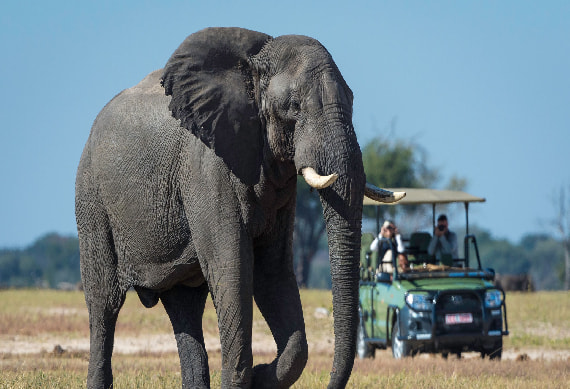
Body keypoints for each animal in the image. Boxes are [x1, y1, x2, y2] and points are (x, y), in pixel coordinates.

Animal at [76, 27, 404, 388]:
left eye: (352, 101)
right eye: (293, 107)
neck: (254, 63)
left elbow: (272, 269)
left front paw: (260, 376)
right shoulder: (206, 169)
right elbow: (233, 267)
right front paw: (251, 376)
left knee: (184, 309)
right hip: (91, 197)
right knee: (104, 302)